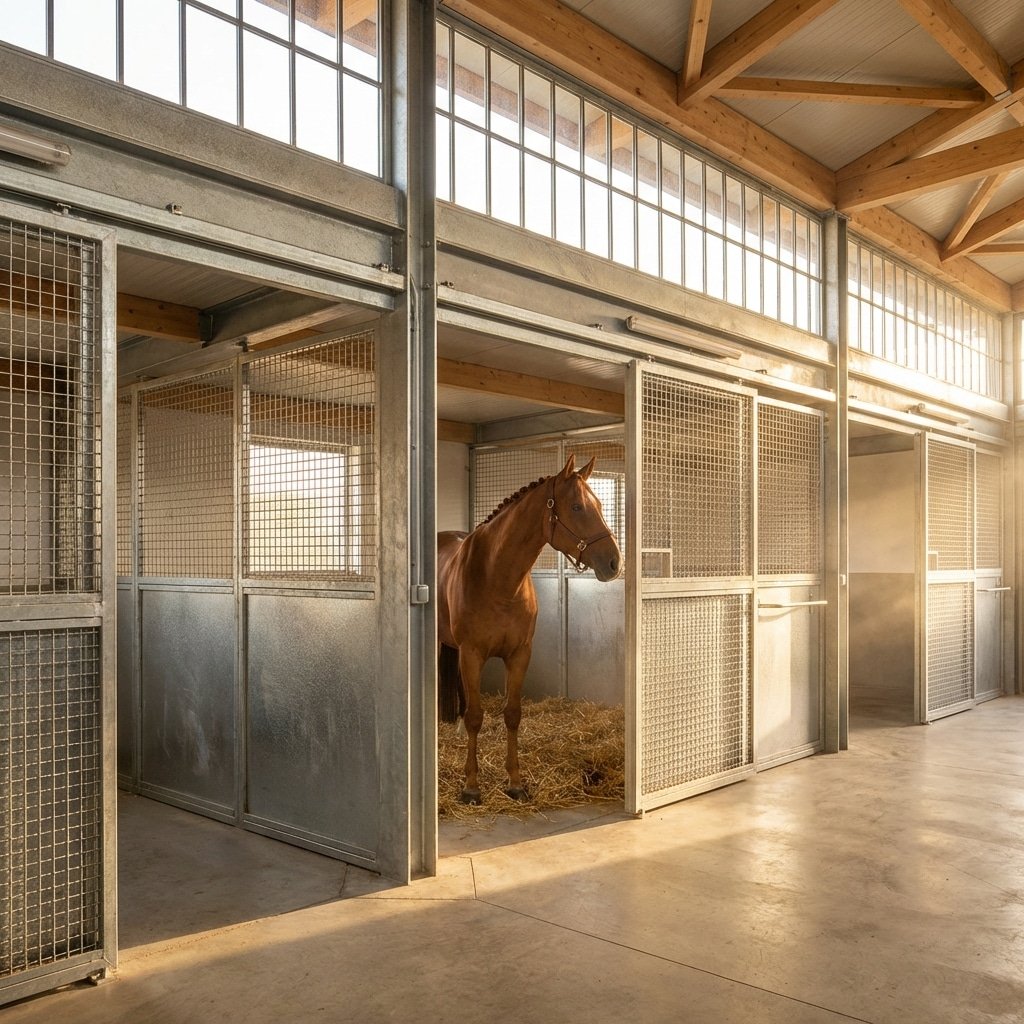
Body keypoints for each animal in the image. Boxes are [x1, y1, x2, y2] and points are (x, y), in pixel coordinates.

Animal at [437, 453, 622, 804]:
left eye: (600, 505)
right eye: (577, 506)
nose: (614, 563)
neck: (496, 577)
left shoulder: (520, 654)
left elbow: (512, 714)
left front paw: (515, 782)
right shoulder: (472, 654)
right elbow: (477, 716)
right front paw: (471, 786)